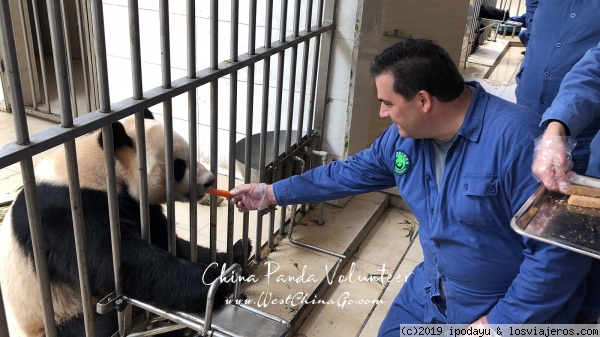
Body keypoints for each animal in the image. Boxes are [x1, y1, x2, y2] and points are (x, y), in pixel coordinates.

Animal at [0, 109, 248, 334]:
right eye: (178, 165)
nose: (209, 181)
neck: (102, 166)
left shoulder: (135, 204)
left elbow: (162, 235)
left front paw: (220, 265)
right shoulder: (65, 212)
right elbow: (114, 260)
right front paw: (210, 281)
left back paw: (237, 252)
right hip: (57, 313)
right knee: (97, 325)